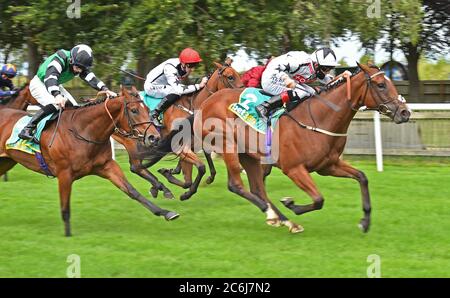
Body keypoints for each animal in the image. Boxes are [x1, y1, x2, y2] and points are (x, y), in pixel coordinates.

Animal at [0, 86, 179, 237]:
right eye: (134, 110)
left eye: (148, 110)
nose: (154, 137)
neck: (83, 131)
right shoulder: (64, 174)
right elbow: (65, 207)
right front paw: (67, 235)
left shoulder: (107, 166)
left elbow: (132, 191)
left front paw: (166, 212)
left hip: (6, 162)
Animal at [193, 62, 412, 234]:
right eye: (381, 85)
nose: (405, 112)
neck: (319, 118)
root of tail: (205, 103)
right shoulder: (294, 169)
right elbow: (319, 199)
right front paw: (291, 204)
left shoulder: (328, 165)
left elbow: (362, 177)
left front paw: (365, 221)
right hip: (228, 146)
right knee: (236, 185)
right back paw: (273, 215)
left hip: (249, 155)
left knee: (257, 188)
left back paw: (285, 220)